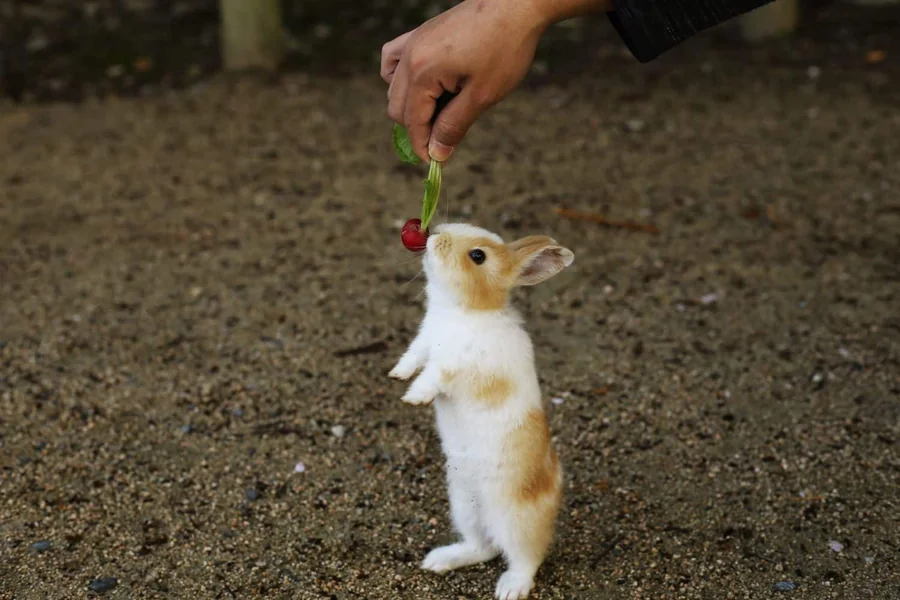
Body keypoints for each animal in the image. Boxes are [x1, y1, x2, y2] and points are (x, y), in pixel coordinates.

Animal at [388, 222, 574, 599]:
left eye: (478, 256)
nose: (434, 235)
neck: (464, 312)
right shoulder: (424, 342)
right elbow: (413, 357)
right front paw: (397, 374)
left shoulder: (458, 365)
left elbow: (434, 375)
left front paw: (414, 397)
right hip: (464, 506)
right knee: (484, 547)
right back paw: (439, 560)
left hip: (514, 519)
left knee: (526, 558)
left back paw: (509, 589)